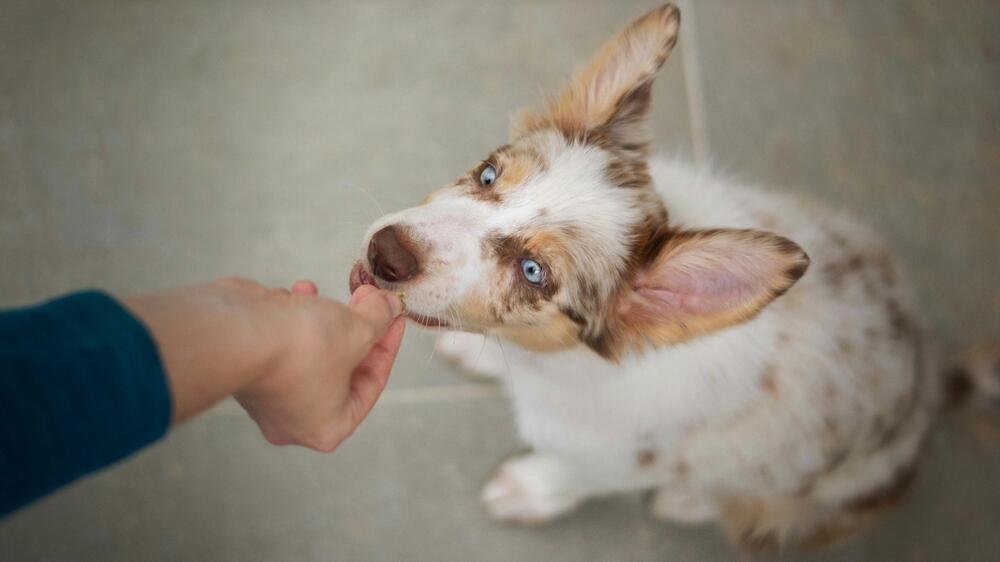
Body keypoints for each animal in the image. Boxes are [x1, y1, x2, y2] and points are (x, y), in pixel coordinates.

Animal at [348, 3, 996, 548]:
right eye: (487, 173)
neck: (559, 366)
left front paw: (527, 491)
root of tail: (932, 377)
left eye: (534, 273)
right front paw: (472, 350)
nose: (385, 253)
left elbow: (574, 475)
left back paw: (686, 502)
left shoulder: (615, 457)